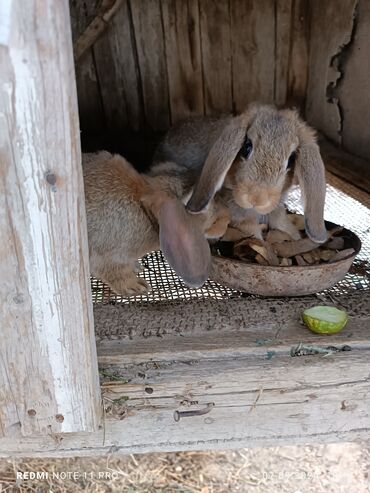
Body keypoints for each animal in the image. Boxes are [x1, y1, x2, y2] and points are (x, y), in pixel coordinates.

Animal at [82, 152, 230, 294]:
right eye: (206, 212)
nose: (227, 221)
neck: (145, 212)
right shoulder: (109, 256)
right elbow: (118, 274)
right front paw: (137, 287)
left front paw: (137, 267)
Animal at [153, 102, 326, 244]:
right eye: (246, 147)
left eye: (291, 160)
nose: (256, 198)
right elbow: (249, 227)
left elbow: (279, 220)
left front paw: (294, 235)